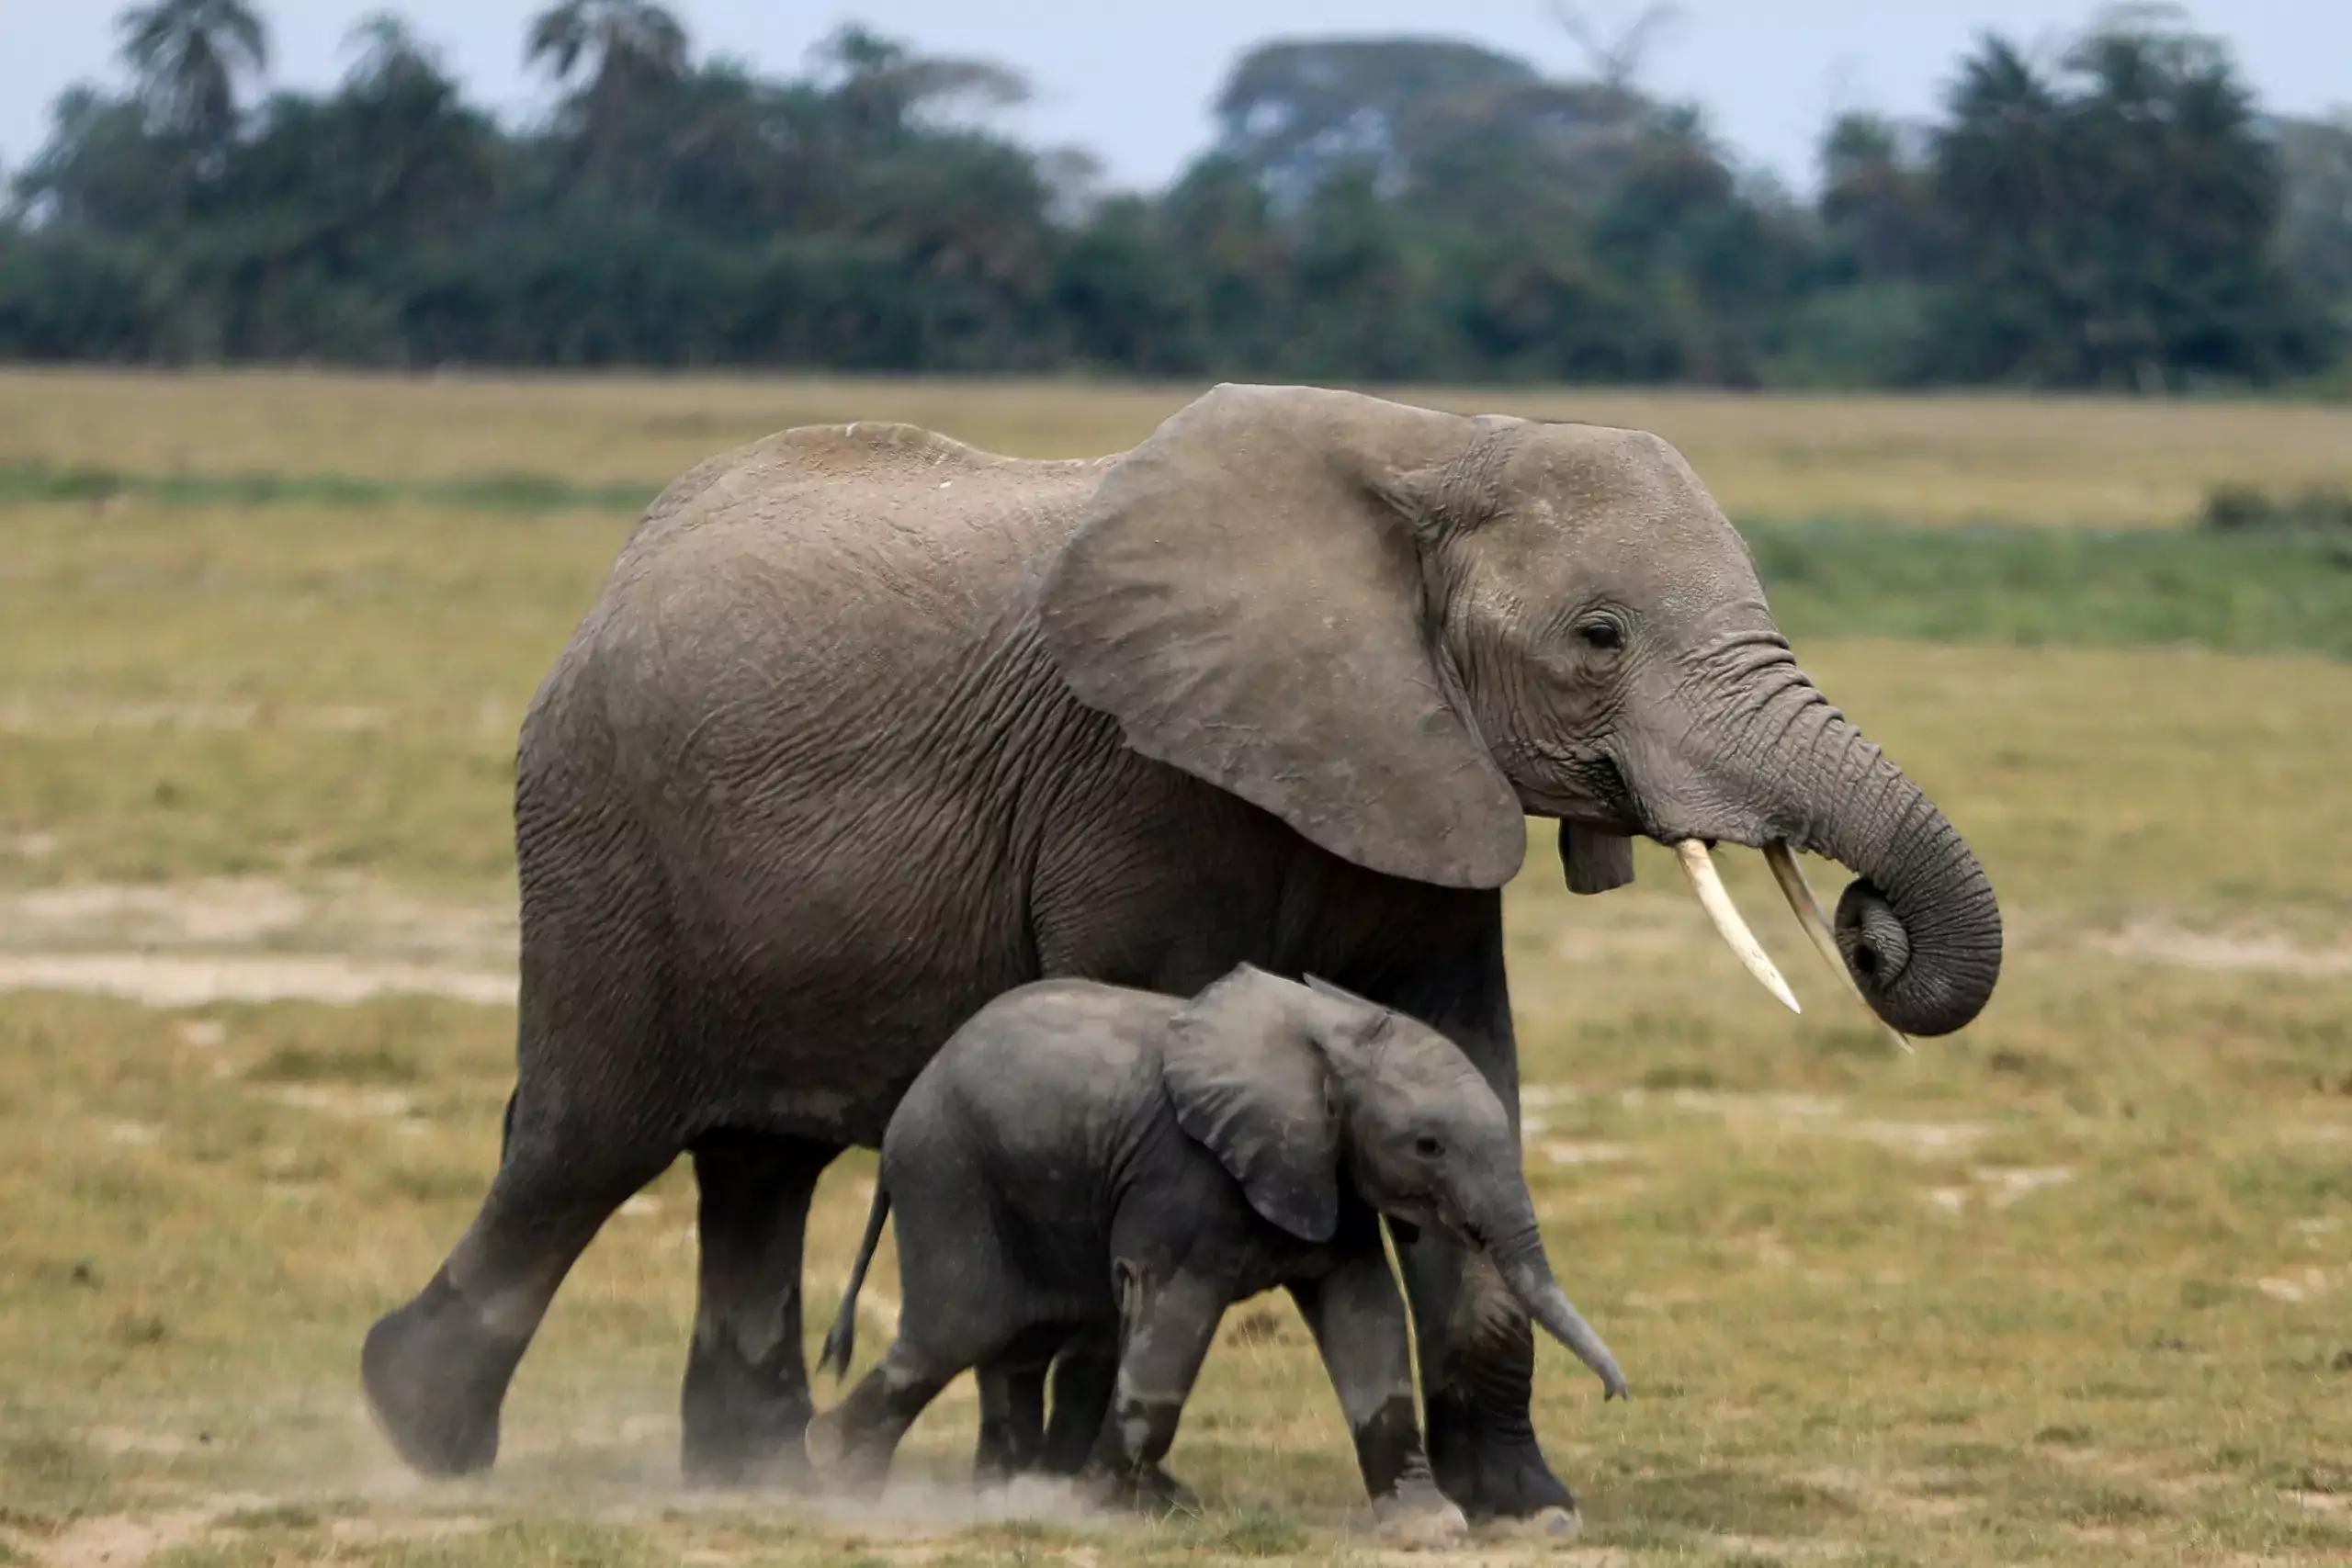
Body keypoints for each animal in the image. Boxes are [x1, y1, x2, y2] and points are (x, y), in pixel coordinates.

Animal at [808, 964, 1618, 1523]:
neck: (1329, 1031)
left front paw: (1427, 1524)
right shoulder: (1185, 1177)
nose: (1618, 1392)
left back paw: (1000, 1497)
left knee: (1017, 1343)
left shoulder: (1327, 1173)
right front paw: (1092, 1508)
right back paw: (833, 1476)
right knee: (955, 1331)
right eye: (1428, 1145)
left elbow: (1366, 1314)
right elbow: (1173, 1329)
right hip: (950, 1176)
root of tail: (908, 1106)